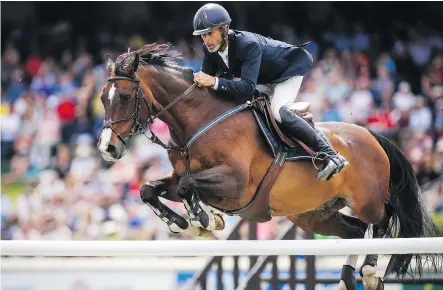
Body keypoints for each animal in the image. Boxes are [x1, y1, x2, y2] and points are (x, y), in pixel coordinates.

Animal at [96, 43, 440, 290]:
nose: (107, 148)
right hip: (313, 215)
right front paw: (185, 223)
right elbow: (150, 189)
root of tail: (372, 136)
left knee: (384, 218)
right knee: (355, 230)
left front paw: (203, 220)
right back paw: (346, 276)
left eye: (125, 97)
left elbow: (187, 186)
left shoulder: (235, 184)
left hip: (366, 199)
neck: (200, 121)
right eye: (102, 98)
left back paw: (368, 269)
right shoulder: (181, 175)